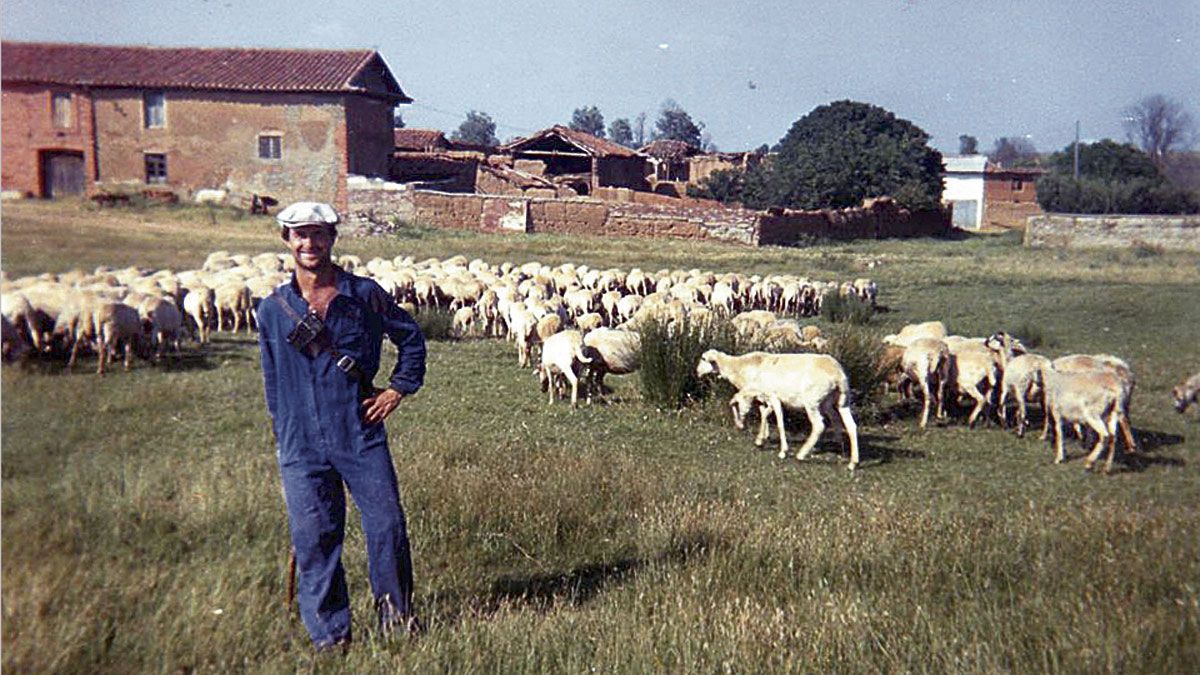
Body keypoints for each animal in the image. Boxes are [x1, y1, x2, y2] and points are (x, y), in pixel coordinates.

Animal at [700, 345, 859, 468]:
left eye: (703, 359)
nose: (697, 372)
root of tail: (838, 374)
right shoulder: (764, 398)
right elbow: (765, 414)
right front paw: (763, 437)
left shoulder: (773, 398)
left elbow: (777, 421)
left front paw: (780, 450)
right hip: (840, 402)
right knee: (848, 424)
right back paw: (848, 457)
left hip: (812, 402)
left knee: (819, 426)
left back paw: (802, 454)